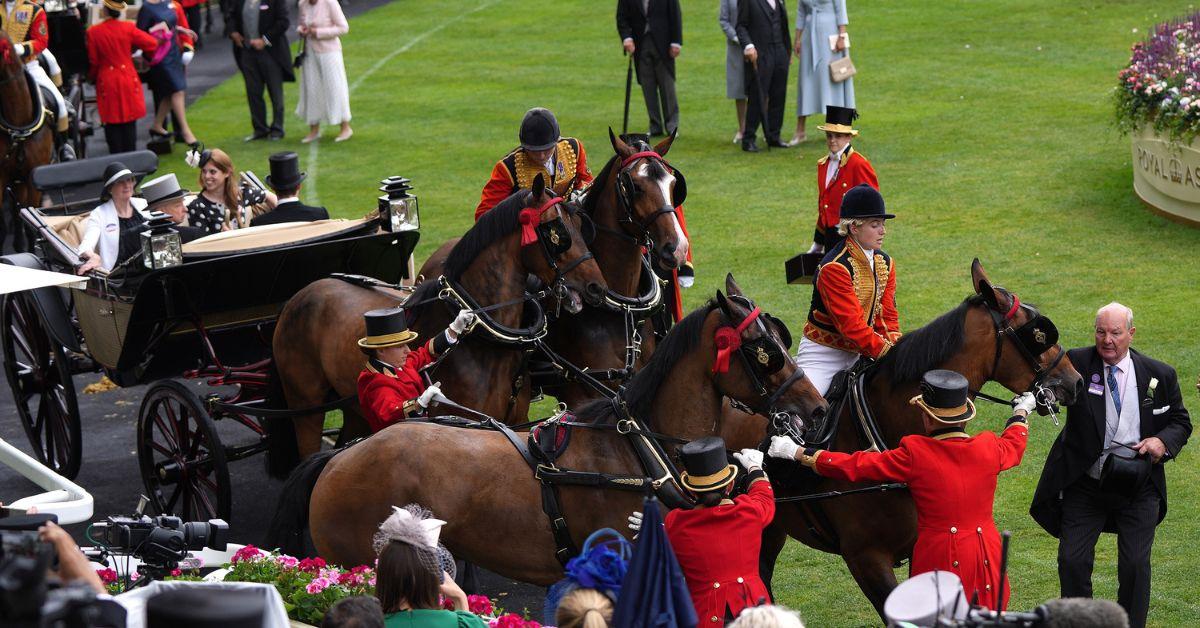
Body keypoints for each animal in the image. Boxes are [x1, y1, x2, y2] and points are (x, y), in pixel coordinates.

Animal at [271, 174, 609, 475]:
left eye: (581, 225)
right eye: (557, 232)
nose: (597, 288)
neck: (486, 342)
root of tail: (300, 294)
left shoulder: (513, 423)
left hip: (355, 407)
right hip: (305, 406)